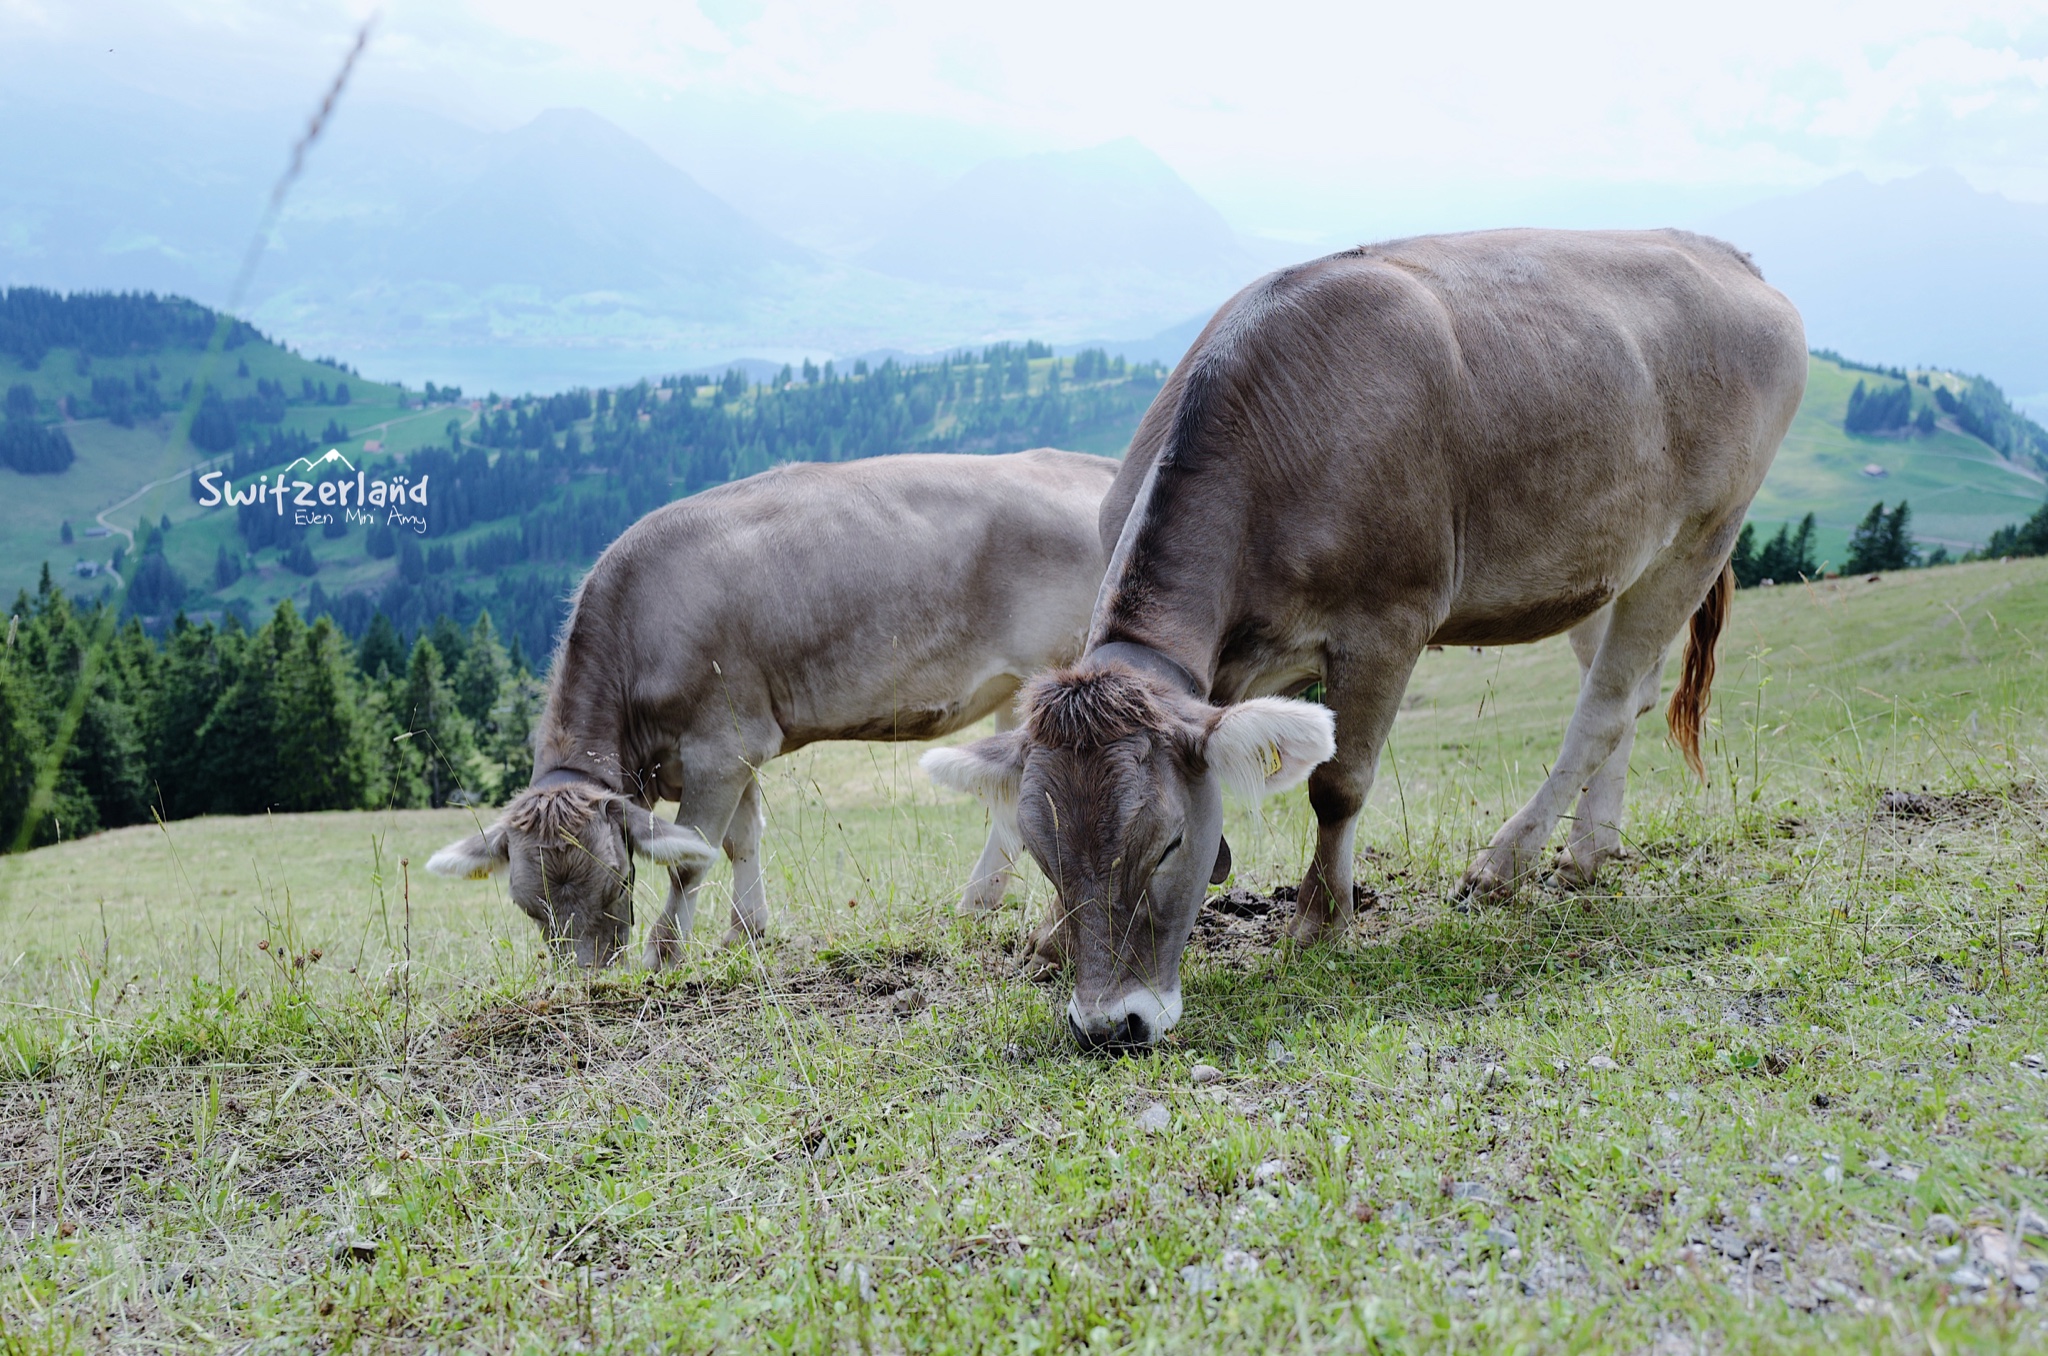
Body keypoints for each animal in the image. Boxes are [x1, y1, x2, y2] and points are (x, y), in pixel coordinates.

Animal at [421, 450, 1114, 970]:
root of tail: (1094, 466)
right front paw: (745, 932)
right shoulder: (738, 741)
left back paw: (982, 904)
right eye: (528, 906)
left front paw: (665, 955)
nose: (588, 982)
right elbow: (739, 840)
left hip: (1050, 671)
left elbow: (691, 856)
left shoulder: (720, 747)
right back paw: (978, 904)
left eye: (617, 881)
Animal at [929, 231, 1810, 1048]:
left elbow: (1338, 784)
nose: (1112, 1025)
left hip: (1701, 534)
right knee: (1629, 695)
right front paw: (1048, 940)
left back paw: (1503, 866)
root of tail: (1723, 253)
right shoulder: (1227, 667)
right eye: (1044, 851)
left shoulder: (1387, 622)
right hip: (1608, 557)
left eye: (1170, 842)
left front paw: (1321, 923)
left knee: (1606, 706)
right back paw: (1588, 853)